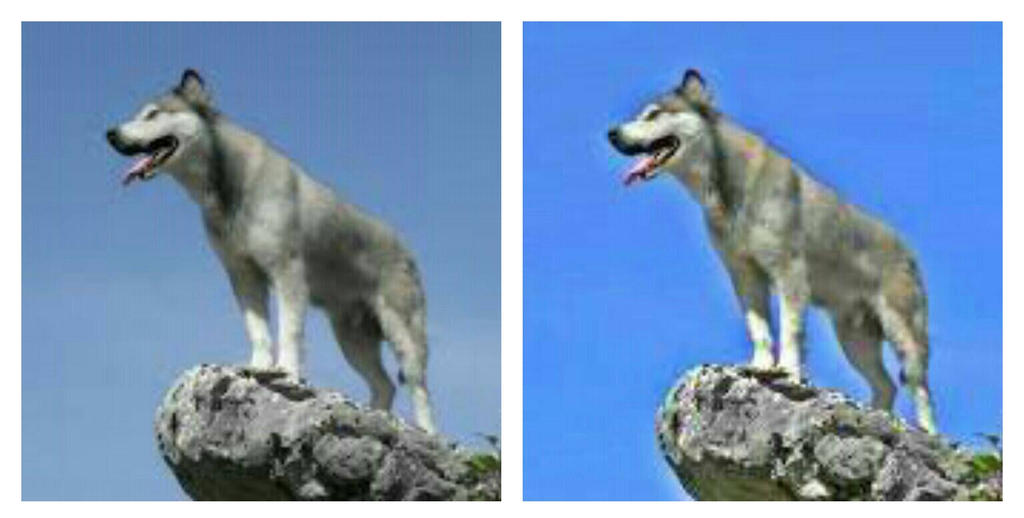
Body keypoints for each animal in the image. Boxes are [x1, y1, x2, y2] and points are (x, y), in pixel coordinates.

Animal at [106, 69, 437, 433]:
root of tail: (406, 248)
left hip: (402, 329)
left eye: (152, 114)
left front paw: (287, 371)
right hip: (351, 336)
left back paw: (427, 431)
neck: (229, 184)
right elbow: (258, 329)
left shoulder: (287, 271)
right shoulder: (243, 274)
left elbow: (289, 330)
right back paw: (378, 417)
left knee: (419, 386)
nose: (110, 134)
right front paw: (259, 366)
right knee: (385, 385)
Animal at [607, 69, 937, 434]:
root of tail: (908, 249)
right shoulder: (744, 274)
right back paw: (880, 418)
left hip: (903, 331)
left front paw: (789, 371)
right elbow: (760, 329)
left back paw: (928, 432)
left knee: (920, 387)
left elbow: (791, 330)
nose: (611, 134)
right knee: (886, 385)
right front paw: (761, 366)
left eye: (653, 114)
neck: (728, 185)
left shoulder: (788, 271)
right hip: (854, 337)